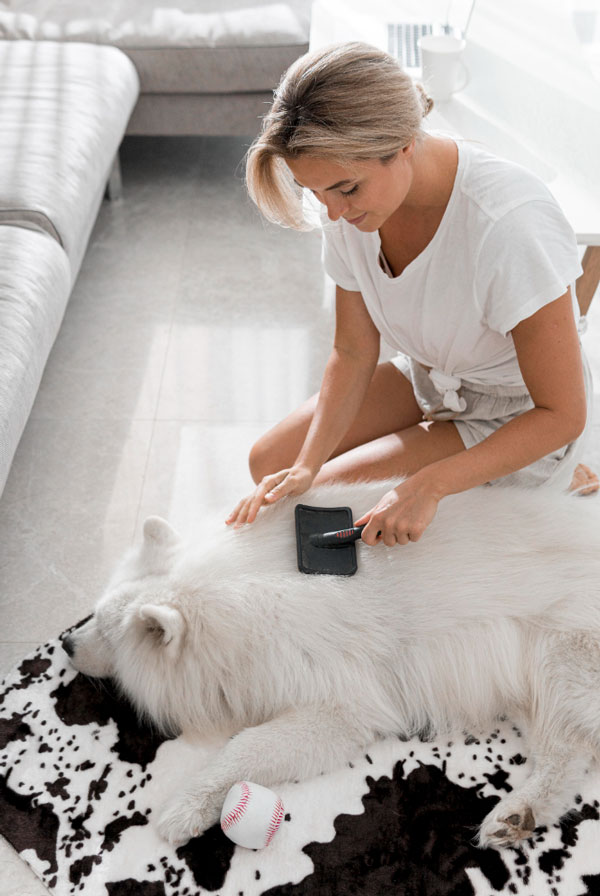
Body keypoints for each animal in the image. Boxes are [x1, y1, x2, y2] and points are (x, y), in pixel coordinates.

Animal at [64, 480, 600, 852]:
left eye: (105, 634)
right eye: (92, 615)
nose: (66, 642)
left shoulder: (340, 704)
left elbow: (247, 747)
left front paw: (184, 807)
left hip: (562, 660)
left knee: (566, 750)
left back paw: (515, 813)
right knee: (568, 755)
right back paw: (518, 818)